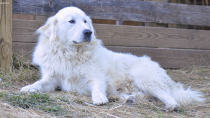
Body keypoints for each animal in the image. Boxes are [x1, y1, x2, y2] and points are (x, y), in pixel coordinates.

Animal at [20, 6, 204, 111]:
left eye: (85, 21)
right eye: (71, 21)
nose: (88, 32)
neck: (70, 53)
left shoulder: (95, 77)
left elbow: (96, 87)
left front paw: (99, 98)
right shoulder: (52, 79)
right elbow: (39, 83)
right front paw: (28, 88)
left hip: (144, 77)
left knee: (170, 97)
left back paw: (170, 107)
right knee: (142, 95)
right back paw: (129, 99)